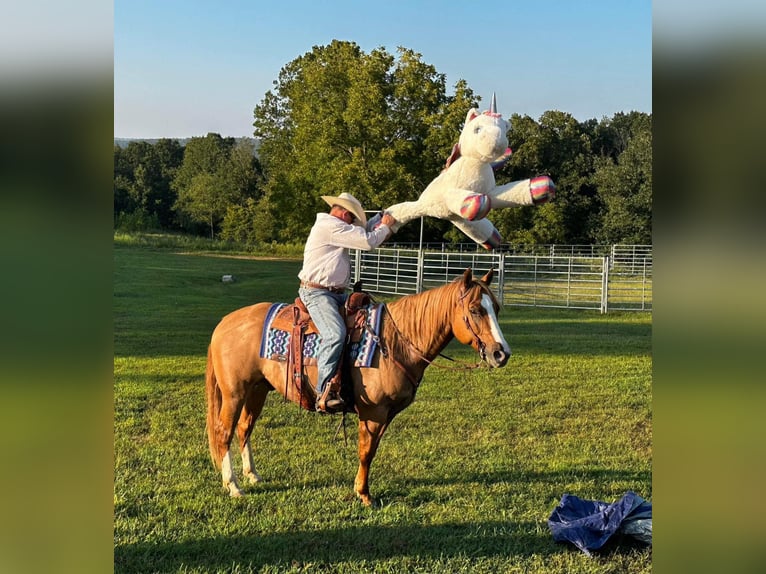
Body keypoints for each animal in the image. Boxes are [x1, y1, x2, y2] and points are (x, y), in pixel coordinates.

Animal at [207, 268, 512, 506]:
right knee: (224, 432)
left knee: (245, 428)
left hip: (257, 389)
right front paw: (364, 495)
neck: (394, 342)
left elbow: (372, 451)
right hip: (234, 393)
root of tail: (224, 322)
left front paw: (361, 489)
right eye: (475, 310)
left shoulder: (386, 415)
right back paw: (233, 485)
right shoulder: (373, 413)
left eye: (496, 308)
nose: (501, 354)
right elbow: (366, 451)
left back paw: (252, 475)